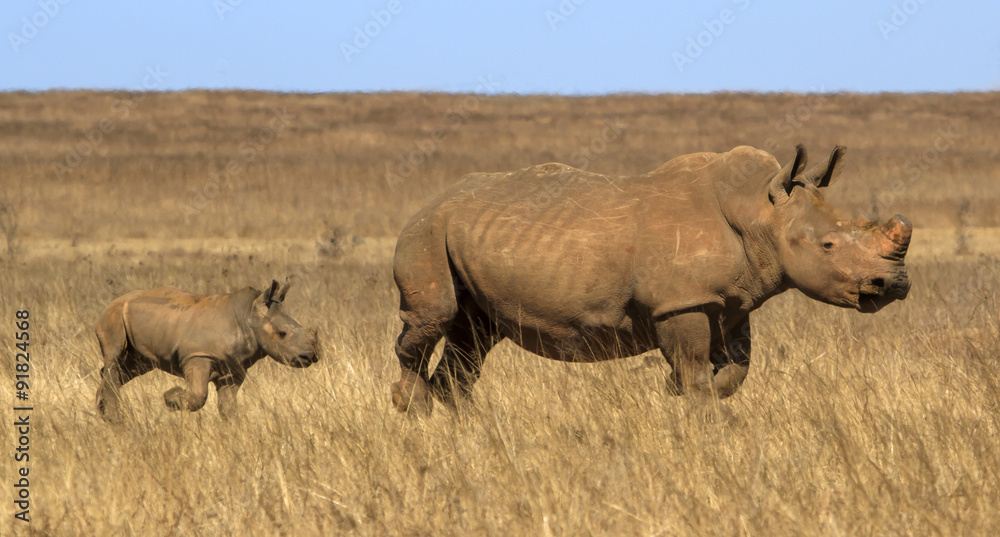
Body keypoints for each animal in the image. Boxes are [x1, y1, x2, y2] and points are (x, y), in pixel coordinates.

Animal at [95, 279, 320, 423]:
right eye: (282, 334)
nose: (311, 357)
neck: (248, 315)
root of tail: (112, 302)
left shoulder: (233, 369)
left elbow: (228, 407)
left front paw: (234, 431)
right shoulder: (198, 356)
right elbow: (199, 396)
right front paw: (170, 398)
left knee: (130, 367)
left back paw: (103, 412)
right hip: (114, 316)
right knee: (114, 358)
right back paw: (115, 419)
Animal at [390, 145, 912, 416]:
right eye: (827, 246)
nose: (894, 286)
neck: (759, 213)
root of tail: (429, 202)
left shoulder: (728, 302)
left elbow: (734, 370)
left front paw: (675, 394)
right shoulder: (682, 301)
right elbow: (697, 367)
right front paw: (699, 414)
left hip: (465, 236)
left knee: (473, 336)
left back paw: (464, 425)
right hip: (426, 231)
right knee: (435, 318)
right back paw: (411, 410)